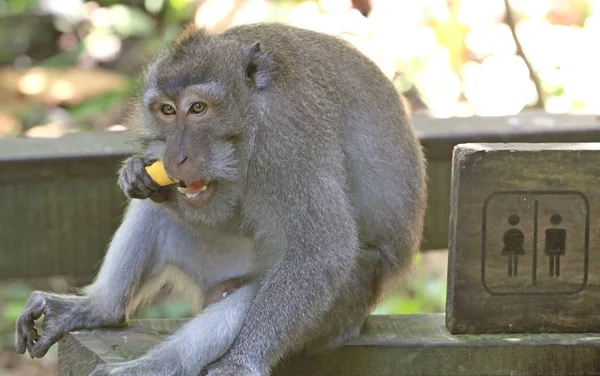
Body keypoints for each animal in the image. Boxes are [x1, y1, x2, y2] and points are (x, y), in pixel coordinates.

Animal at [14, 22, 426, 374]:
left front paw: (240, 363)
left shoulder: (287, 139)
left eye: (198, 108)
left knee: (257, 295)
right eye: (167, 110)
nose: (176, 157)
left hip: (346, 304)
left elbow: (321, 250)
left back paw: (162, 364)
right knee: (156, 215)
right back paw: (98, 309)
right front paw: (135, 172)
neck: (252, 113)